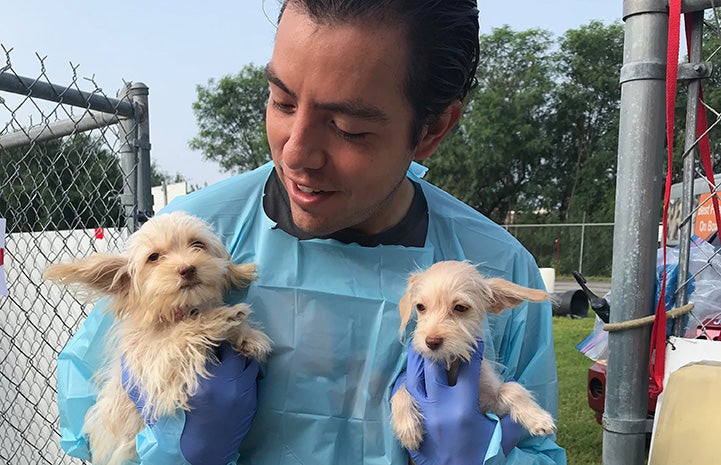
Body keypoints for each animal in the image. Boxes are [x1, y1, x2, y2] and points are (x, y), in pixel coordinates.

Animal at [43, 210, 272, 464]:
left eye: (198, 244)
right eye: (153, 257)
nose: (187, 269)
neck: (177, 313)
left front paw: (247, 336)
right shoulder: (152, 366)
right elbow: (179, 338)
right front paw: (220, 319)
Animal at [390, 260, 556, 448]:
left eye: (460, 307)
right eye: (420, 307)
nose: (431, 342)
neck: (450, 365)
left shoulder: (491, 406)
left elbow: (511, 388)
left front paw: (537, 417)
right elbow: (401, 388)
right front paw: (407, 427)